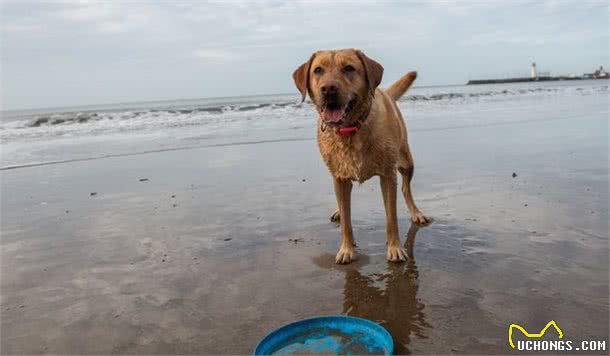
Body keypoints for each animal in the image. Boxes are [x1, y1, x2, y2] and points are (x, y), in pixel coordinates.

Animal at [290, 48, 428, 262]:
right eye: (318, 70)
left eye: (349, 68)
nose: (328, 88)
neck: (350, 130)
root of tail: (384, 91)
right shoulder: (339, 177)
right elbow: (346, 221)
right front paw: (347, 249)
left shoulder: (388, 176)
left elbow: (391, 218)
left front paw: (395, 247)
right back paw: (338, 210)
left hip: (406, 161)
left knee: (406, 188)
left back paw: (416, 212)